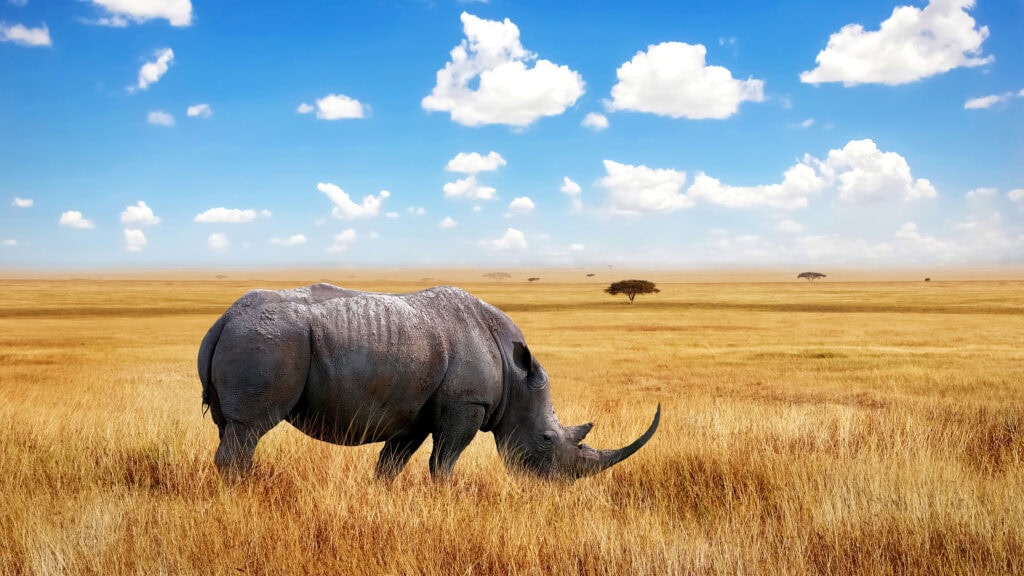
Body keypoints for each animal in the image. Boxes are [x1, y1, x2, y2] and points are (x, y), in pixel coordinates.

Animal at [198, 283, 659, 481]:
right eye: (547, 439)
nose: (558, 487)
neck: (516, 376)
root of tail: (222, 319)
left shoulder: (413, 412)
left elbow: (392, 462)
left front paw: (382, 498)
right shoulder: (467, 404)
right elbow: (444, 462)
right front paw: (445, 498)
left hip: (251, 336)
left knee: (229, 427)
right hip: (269, 340)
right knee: (249, 428)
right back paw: (243, 494)